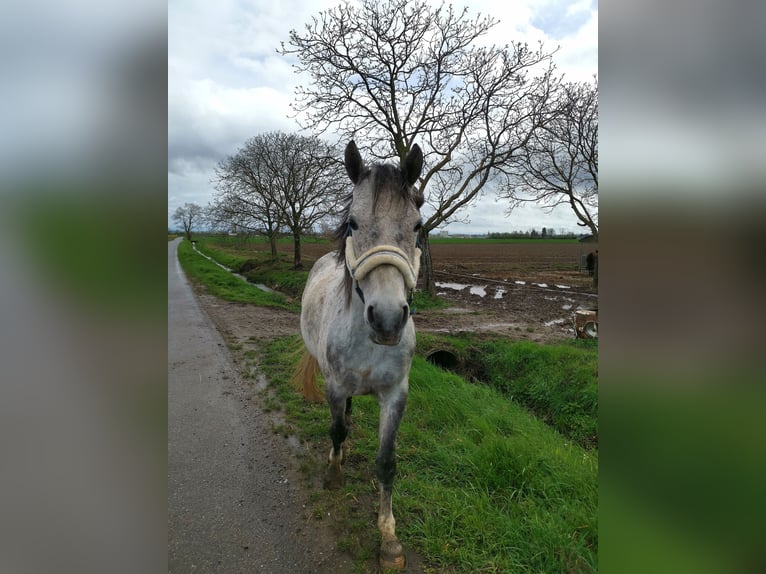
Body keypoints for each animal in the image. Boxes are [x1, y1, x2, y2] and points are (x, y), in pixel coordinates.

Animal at [296, 141, 426, 572]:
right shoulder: (335, 386)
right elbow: (336, 429)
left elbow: (387, 462)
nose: (387, 318)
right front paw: (334, 473)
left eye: (417, 226)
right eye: (353, 224)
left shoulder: (396, 395)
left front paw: (389, 539)